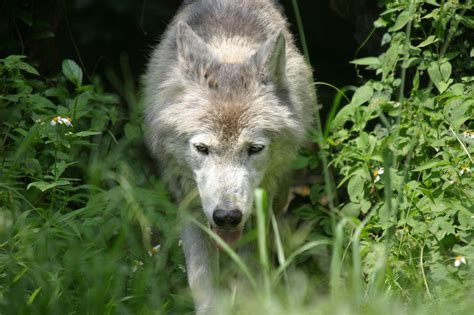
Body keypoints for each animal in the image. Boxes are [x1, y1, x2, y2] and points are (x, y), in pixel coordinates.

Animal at [143, 0, 314, 314]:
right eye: (202, 149)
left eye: (254, 149)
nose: (226, 217)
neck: (229, 47)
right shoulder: (191, 206)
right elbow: (203, 282)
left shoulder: (256, 210)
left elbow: (250, 271)